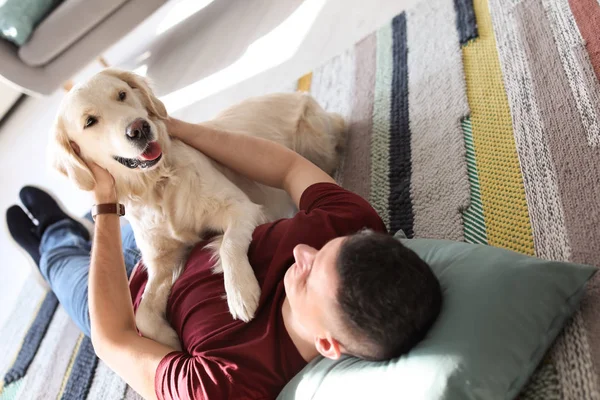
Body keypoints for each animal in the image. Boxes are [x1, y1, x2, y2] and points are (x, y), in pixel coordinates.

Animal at [49, 69, 344, 350]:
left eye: (121, 95)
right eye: (90, 121)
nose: (139, 128)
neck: (156, 183)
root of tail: (300, 95)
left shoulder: (241, 207)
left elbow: (228, 245)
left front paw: (240, 292)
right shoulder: (162, 261)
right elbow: (142, 314)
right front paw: (169, 340)